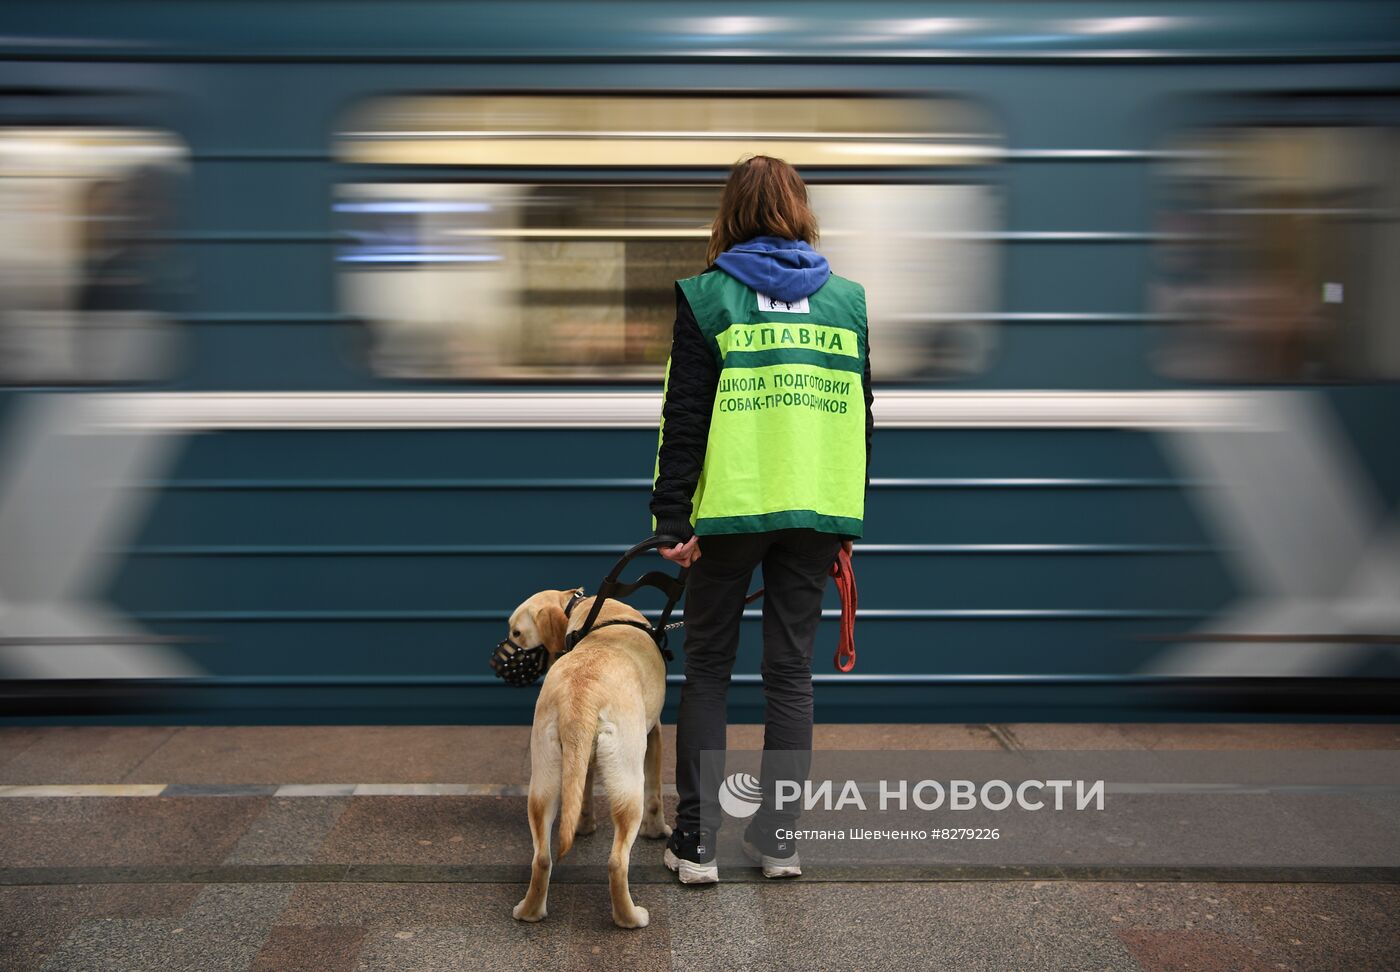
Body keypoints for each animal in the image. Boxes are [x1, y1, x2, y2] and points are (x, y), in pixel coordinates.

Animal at [506, 591, 674, 935]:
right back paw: (630, 918)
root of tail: (579, 697)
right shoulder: (655, 733)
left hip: (543, 782)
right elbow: (656, 796)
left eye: (516, 632)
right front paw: (657, 831)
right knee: (617, 861)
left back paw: (529, 911)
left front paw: (584, 826)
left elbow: (582, 793)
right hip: (627, 784)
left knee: (542, 858)